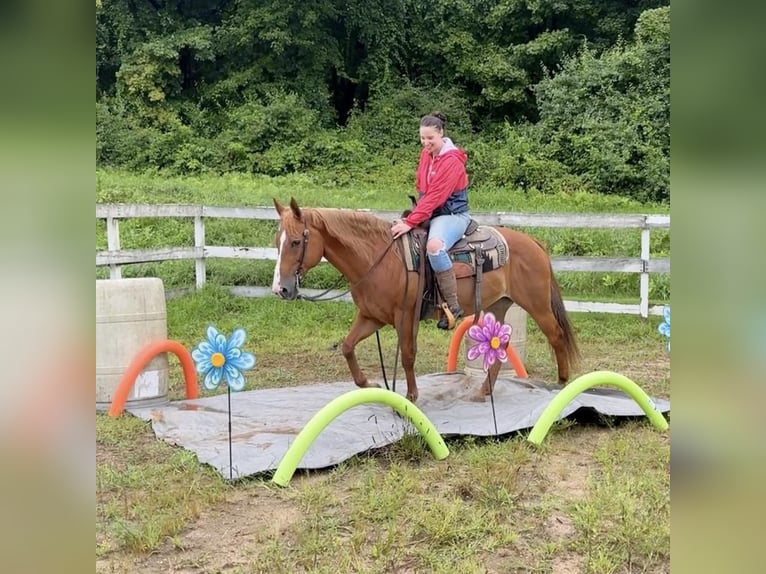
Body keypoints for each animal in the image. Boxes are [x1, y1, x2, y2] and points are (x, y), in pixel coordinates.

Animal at [272, 198, 580, 404]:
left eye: (296, 242)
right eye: (278, 241)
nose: (281, 289)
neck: (379, 259)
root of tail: (534, 243)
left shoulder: (405, 316)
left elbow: (408, 355)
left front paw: (410, 396)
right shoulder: (372, 317)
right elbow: (347, 346)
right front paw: (370, 383)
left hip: (536, 303)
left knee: (556, 335)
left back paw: (562, 384)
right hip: (498, 305)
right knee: (501, 344)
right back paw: (484, 391)